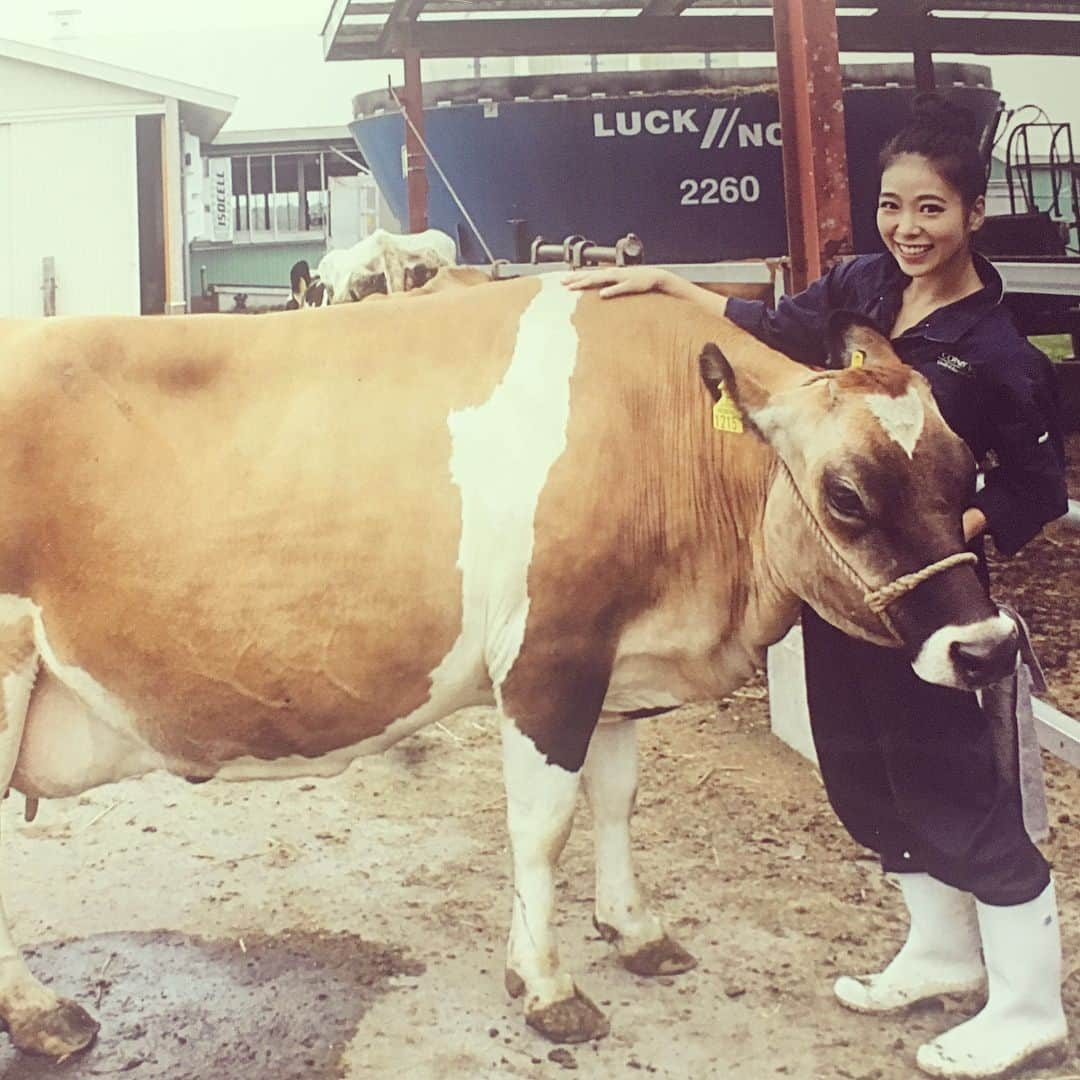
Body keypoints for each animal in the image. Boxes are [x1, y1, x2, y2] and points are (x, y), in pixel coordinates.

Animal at [0, 274, 1010, 1058]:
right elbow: (542, 828)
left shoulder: (616, 665)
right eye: (846, 495)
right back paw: (46, 1017)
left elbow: (617, 800)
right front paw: (549, 987)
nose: (988, 647)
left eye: (970, 470)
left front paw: (636, 932)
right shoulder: (546, 659)